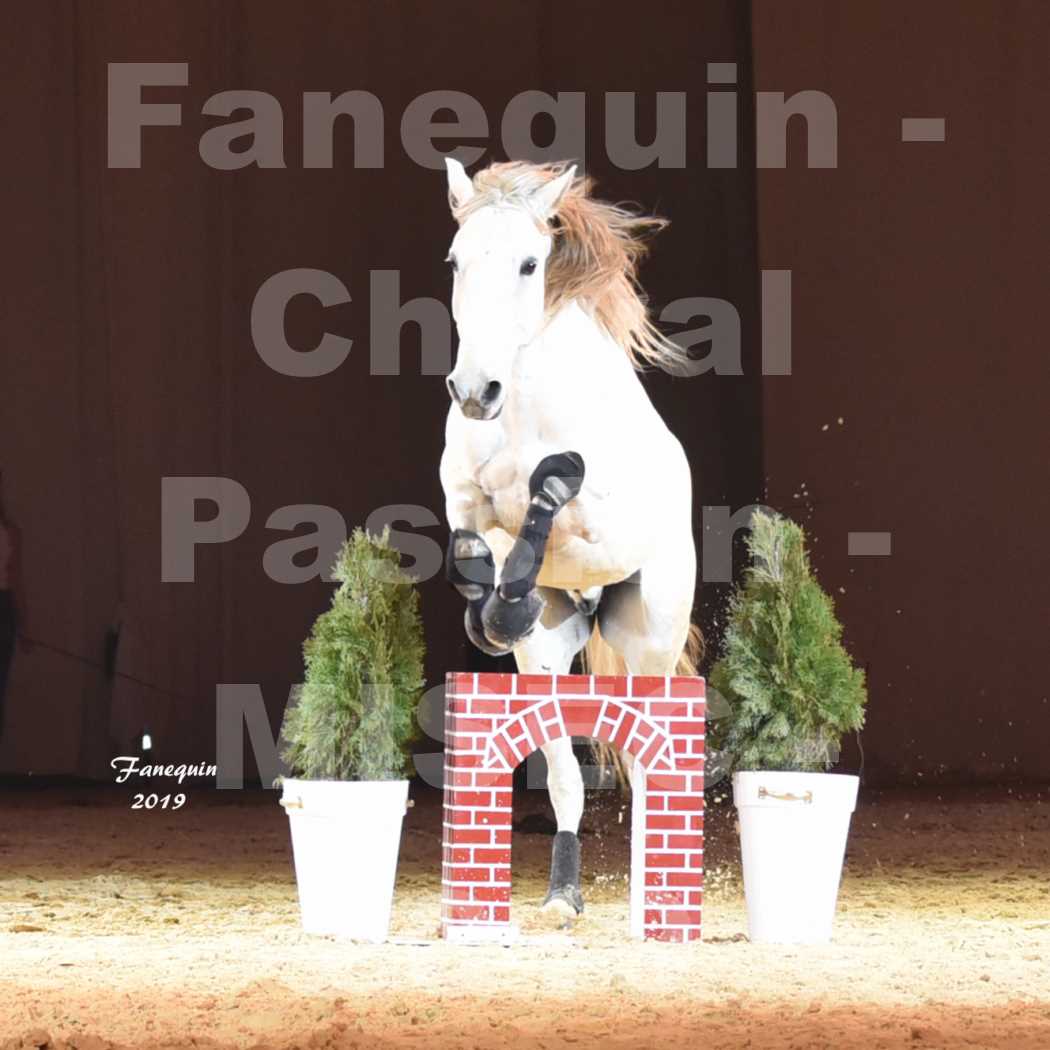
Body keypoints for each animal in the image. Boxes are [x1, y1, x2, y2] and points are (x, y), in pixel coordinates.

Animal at [438, 157, 701, 919]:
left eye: (530, 264)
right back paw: (563, 895)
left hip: (651, 644)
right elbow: (472, 553)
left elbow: (554, 485)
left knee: (646, 762)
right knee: (565, 774)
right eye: (456, 261)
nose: (475, 392)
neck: (524, 402)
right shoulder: (462, 502)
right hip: (548, 660)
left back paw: (652, 893)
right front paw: (498, 615)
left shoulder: (598, 518)